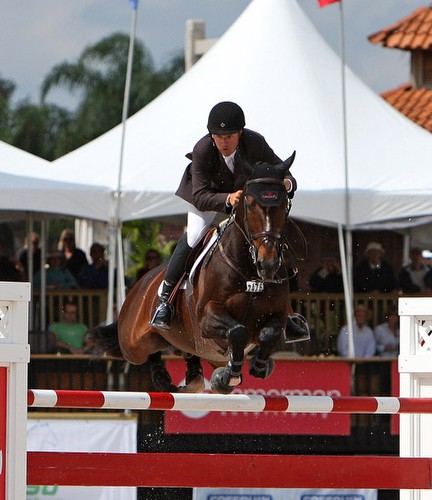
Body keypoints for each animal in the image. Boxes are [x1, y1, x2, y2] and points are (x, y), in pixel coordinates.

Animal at [91, 153, 300, 394]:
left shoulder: (277, 316)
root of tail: (140, 285)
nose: (268, 263)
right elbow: (237, 331)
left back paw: (191, 378)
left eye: (284, 204)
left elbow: (268, 333)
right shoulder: (207, 318)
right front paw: (229, 375)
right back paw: (164, 372)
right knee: (148, 352)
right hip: (133, 344)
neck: (251, 274)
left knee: (187, 352)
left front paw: (259, 366)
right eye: (249, 204)